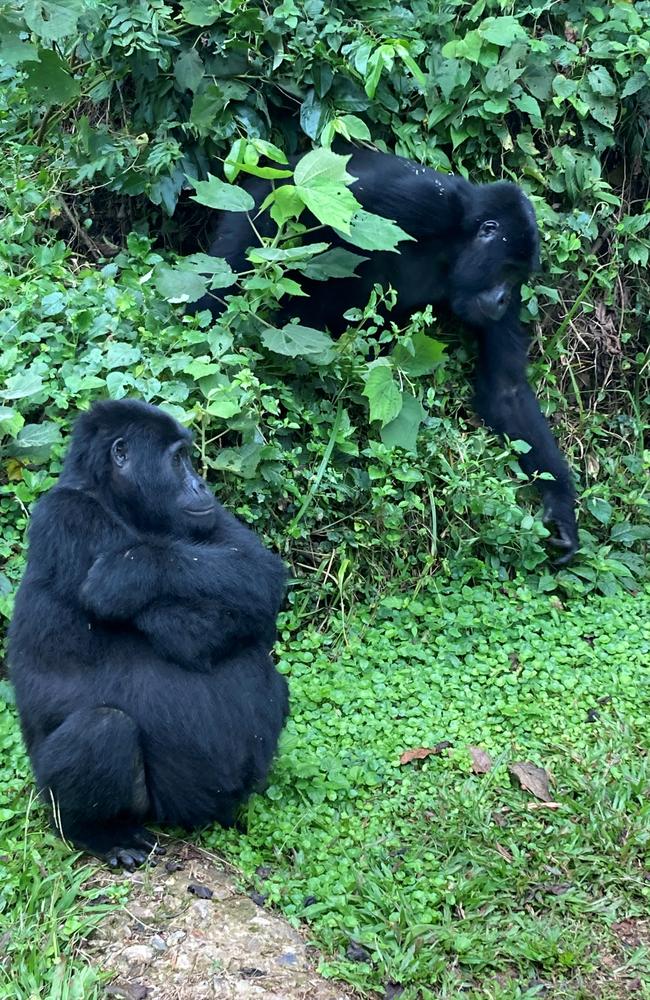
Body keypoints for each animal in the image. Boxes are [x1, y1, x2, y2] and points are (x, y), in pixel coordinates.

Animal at [8, 398, 288, 868]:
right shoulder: (67, 516)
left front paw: (134, 569)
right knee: (103, 729)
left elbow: (256, 571)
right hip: (121, 806)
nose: (201, 484)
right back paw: (97, 833)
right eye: (177, 459)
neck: (112, 498)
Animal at [195, 144, 576, 564]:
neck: (457, 243)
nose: (507, 298)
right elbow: (324, 218)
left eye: (518, 279)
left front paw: (561, 506)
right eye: (507, 270)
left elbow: (507, 390)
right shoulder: (421, 203)